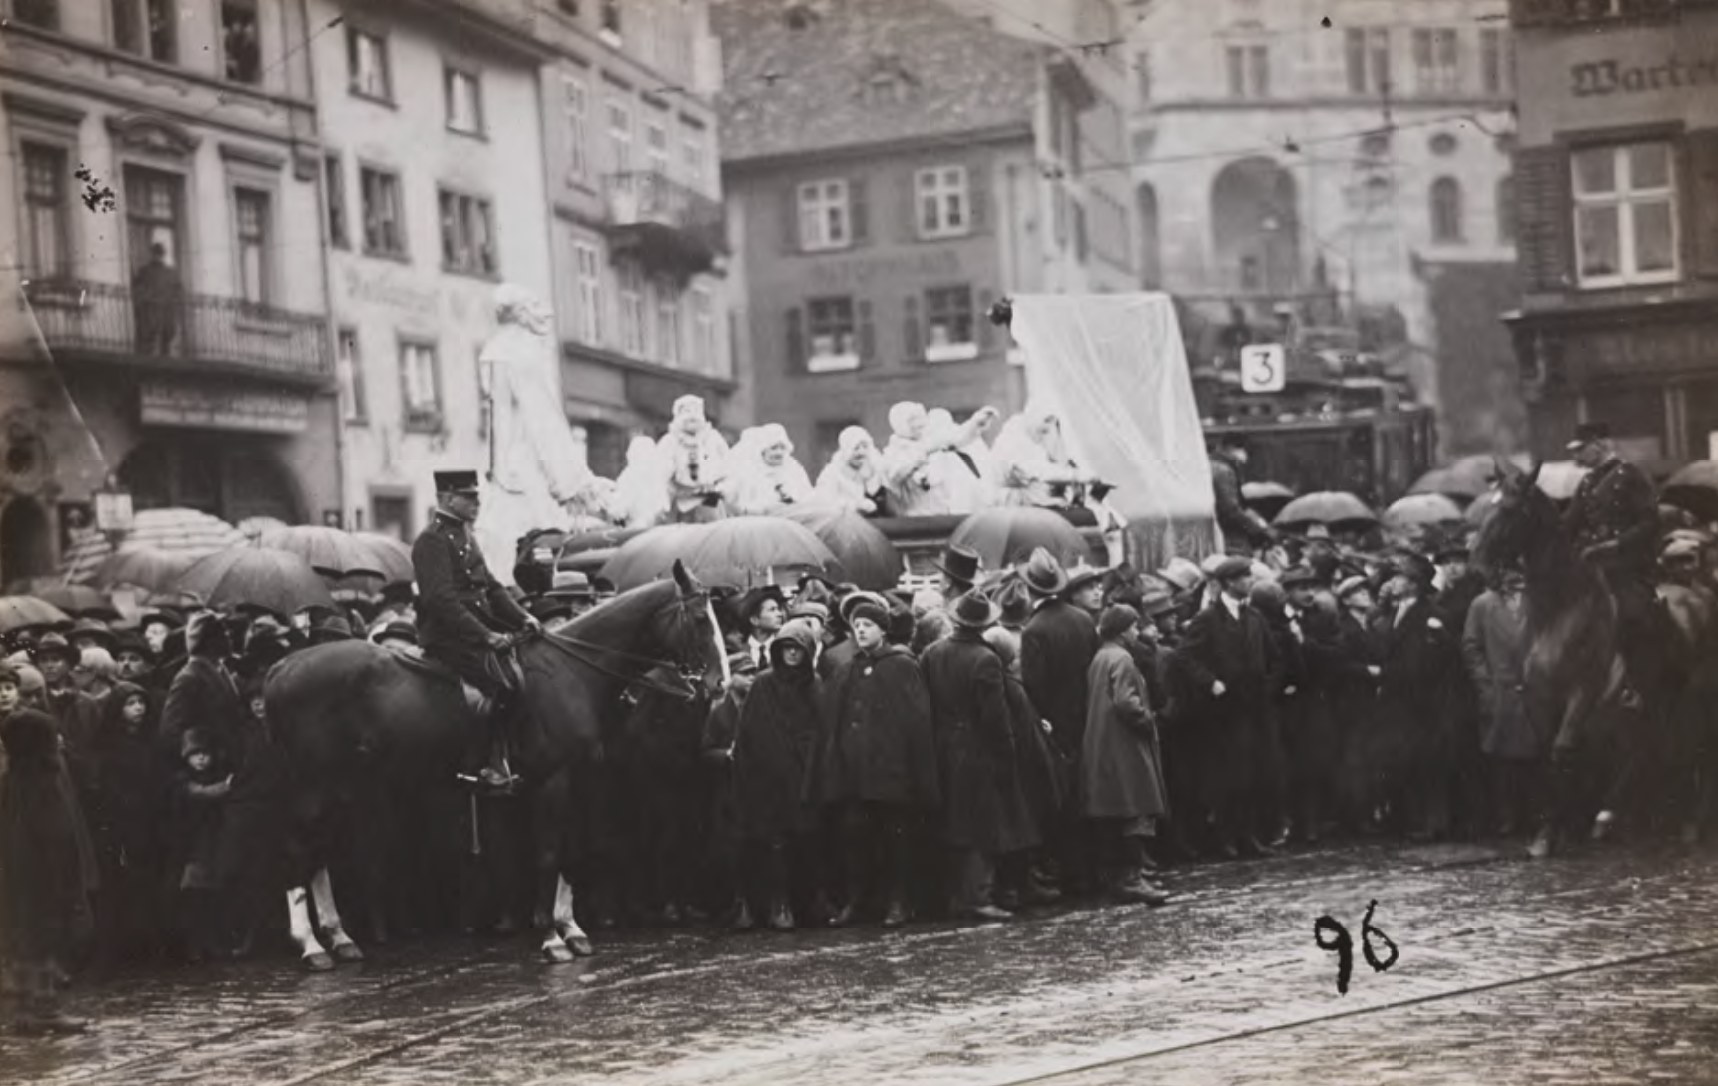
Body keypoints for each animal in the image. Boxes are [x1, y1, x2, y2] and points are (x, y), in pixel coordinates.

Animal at [262, 567, 724, 969]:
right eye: (702, 619)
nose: (719, 683)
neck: (571, 674)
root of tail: (283, 666)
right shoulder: (552, 782)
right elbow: (548, 854)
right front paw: (552, 938)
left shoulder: (577, 782)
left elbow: (570, 851)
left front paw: (571, 928)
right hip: (314, 786)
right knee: (296, 850)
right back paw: (310, 945)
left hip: (338, 786)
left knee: (319, 852)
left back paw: (339, 938)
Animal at [1477, 457, 1704, 848]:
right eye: (1490, 504)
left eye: (1510, 509)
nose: (1478, 560)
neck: (1559, 613)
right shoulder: (1539, 697)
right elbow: (1547, 755)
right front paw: (1551, 829)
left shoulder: (1583, 692)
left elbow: (1562, 749)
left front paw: (1558, 828)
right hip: (1648, 706)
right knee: (1646, 746)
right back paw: (1614, 815)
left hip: (1687, 700)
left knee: (1680, 747)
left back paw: (1673, 820)